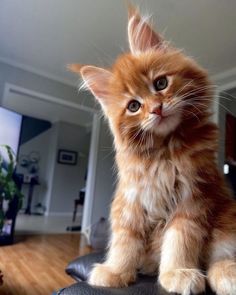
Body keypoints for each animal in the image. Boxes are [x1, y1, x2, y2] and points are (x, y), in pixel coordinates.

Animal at [69, 4, 236, 295]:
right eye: (134, 106)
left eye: (160, 84)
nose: (156, 109)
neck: (164, 152)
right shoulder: (130, 202)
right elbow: (125, 242)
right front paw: (115, 272)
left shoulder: (192, 200)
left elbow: (179, 240)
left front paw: (176, 273)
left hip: (226, 221)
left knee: (219, 258)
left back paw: (227, 274)